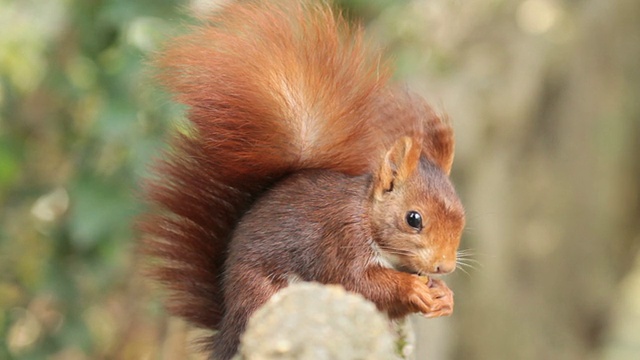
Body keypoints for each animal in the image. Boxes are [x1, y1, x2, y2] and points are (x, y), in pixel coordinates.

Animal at [140, 1, 462, 358]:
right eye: (413, 219)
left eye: (462, 218)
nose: (445, 266)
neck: (367, 217)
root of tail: (228, 325)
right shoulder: (340, 241)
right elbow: (359, 282)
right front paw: (413, 287)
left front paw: (444, 296)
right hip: (265, 299)